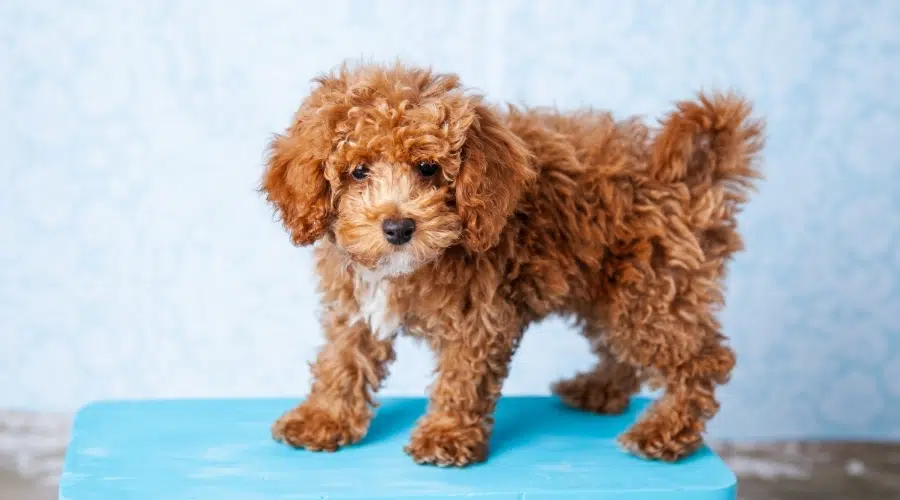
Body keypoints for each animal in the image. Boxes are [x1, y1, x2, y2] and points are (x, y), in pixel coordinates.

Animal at [262, 60, 768, 466]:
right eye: (358, 171)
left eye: (428, 168)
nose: (398, 227)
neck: (406, 266)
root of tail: (689, 179)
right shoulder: (356, 304)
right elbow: (342, 360)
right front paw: (323, 418)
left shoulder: (481, 316)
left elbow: (462, 378)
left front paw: (446, 435)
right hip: (614, 290)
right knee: (622, 352)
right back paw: (598, 389)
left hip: (650, 289)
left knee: (701, 359)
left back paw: (663, 431)